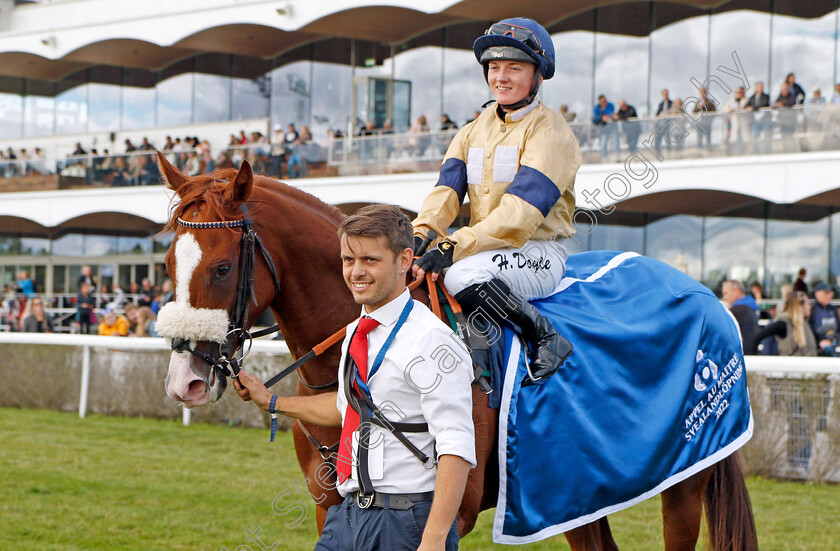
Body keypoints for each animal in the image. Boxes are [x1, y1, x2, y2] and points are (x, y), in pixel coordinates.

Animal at [159, 155, 760, 551]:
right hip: (577, 486)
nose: (184, 380)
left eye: (221, 267)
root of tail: (707, 294)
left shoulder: (447, 512)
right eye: (166, 261)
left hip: (685, 477)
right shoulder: (330, 507)